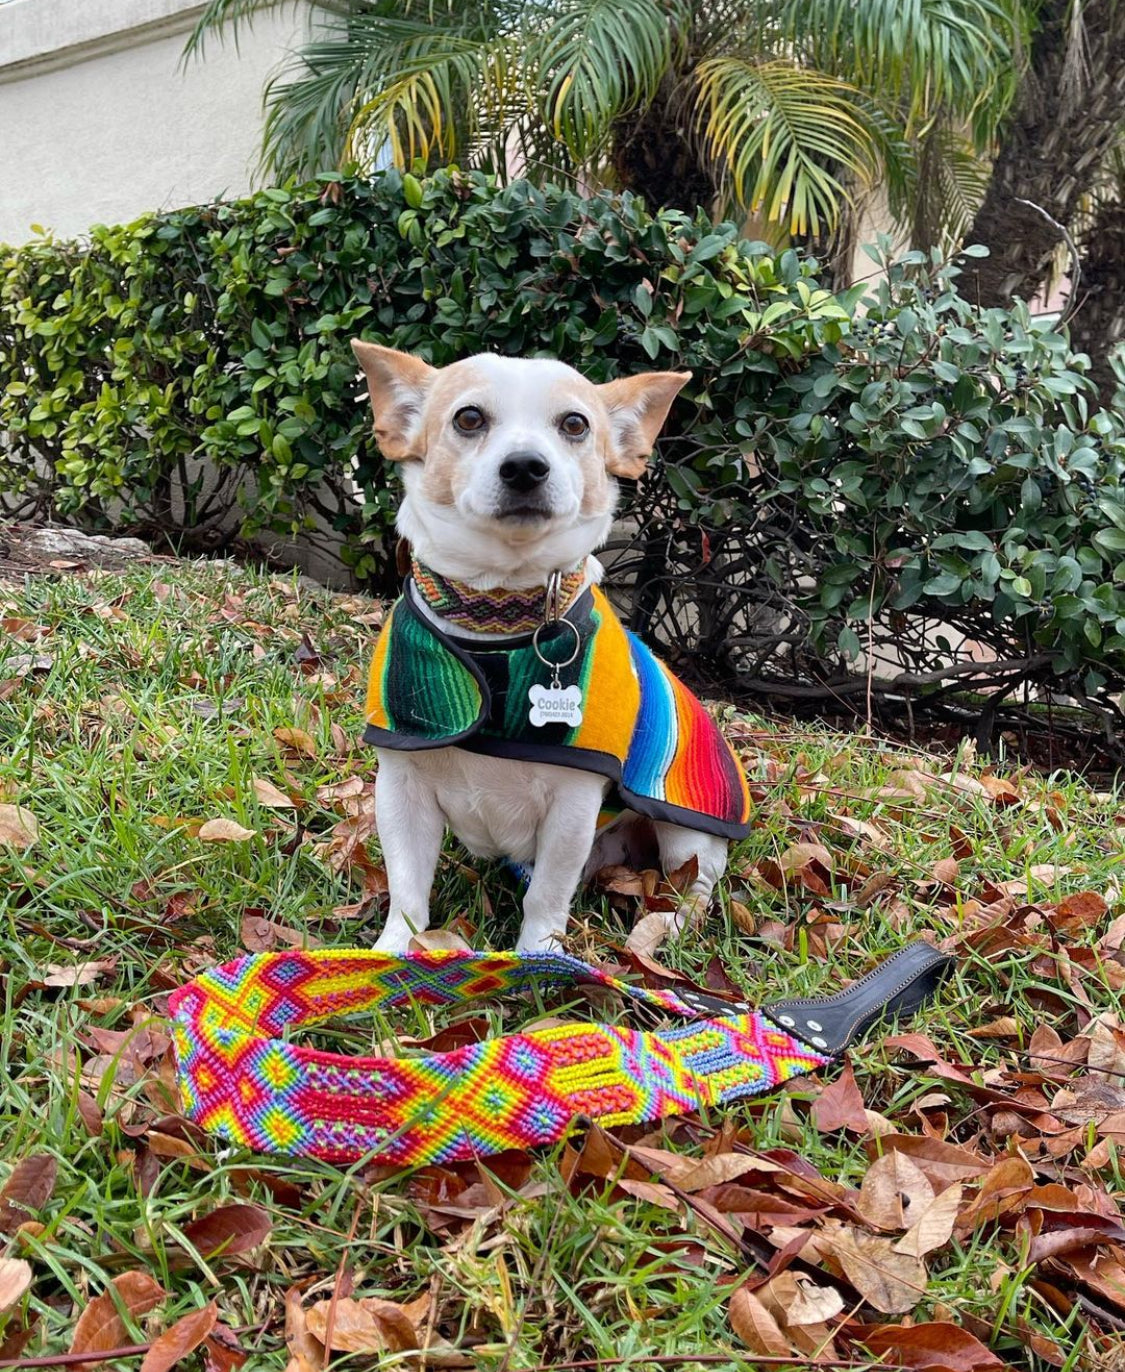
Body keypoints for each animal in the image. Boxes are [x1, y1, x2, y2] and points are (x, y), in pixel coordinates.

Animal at [351, 343, 751, 949]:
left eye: (575, 425)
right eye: (469, 418)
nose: (525, 465)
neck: (499, 613)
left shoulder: (571, 809)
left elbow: (545, 896)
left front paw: (538, 954)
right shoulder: (401, 792)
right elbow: (408, 889)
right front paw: (397, 949)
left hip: (685, 832)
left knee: (694, 889)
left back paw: (665, 929)